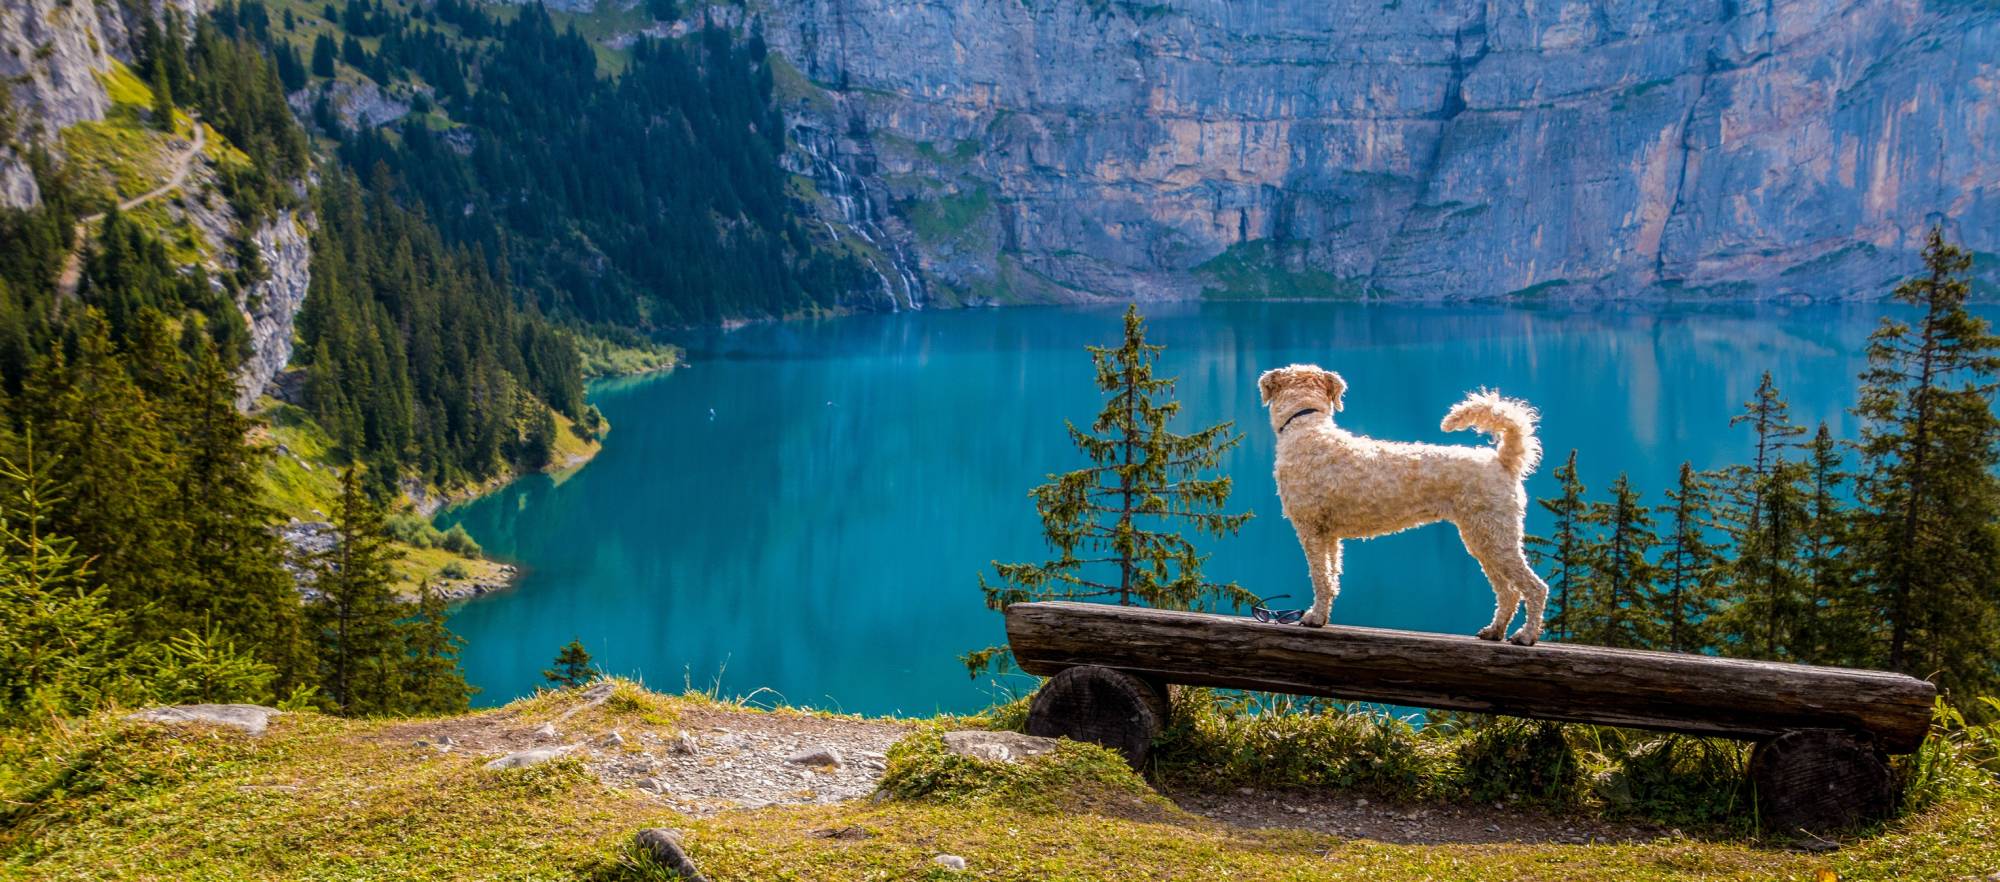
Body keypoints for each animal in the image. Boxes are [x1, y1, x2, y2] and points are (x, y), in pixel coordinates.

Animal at [1256, 364, 1552, 648]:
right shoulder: (1328, 534)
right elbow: (1331, 577)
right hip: (1482, 538)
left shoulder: (1310, 528)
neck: (1306, 426)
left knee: (1535, 588)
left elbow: (1320, 577)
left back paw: (1526, 636)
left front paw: (1314, 617)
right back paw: (1494, 631)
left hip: (1495, 536)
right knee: (1508, 591)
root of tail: (1502, 461)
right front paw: (1322, 614)